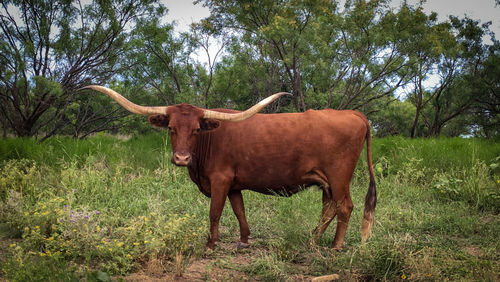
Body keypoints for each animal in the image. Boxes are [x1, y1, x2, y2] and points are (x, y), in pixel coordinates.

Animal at [81, 85, 376, 249]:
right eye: (172, 128)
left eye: (197, 129)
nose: (182, 158)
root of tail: (354, 114)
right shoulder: (234, 185)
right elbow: (239, 210)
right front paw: (244, 240)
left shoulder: (220, 180)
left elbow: (215, 212)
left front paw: (211, 244)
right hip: (326, 182)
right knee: (328, 209)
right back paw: (312, 240)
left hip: (339, 178)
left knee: (345, 207)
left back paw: (335, 247)